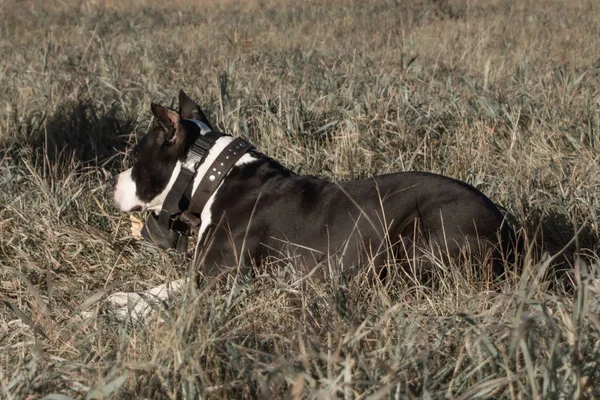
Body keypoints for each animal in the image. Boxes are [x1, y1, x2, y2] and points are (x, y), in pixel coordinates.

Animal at [105, 90, 516, 322]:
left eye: (136, 157)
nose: (114, 182)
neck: (213, 175)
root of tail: (508, 231)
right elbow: (164, 287)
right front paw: (121, 300)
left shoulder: (219, 279)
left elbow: (167, 292)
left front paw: (121, 306)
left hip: (418, 236)